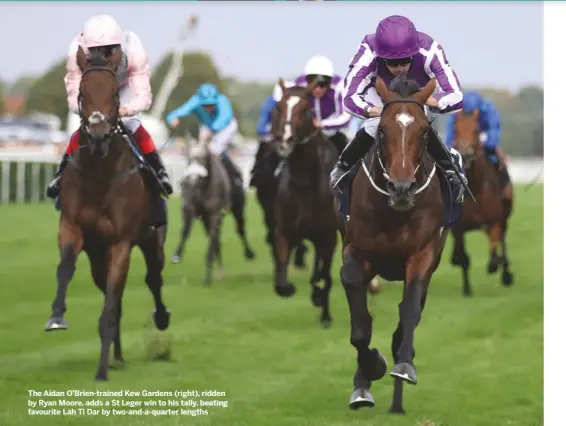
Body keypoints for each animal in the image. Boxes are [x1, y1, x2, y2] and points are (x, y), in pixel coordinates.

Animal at [44, 48, 171, 382]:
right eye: (81, 92)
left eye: (114, 93)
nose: (99, 135)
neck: (99, 173)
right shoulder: (72, 228)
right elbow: (65, 269)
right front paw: (57, 316)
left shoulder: (121, 242)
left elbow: (111, 307)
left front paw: (101, 370)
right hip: (97, 257)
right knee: (115, 295)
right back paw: (118, 356)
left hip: (152, 241)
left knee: (153, 279)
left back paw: (161, 318)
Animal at [272, 79, 340, 326]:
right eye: (278, 107)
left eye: (305, 109)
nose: (285, 141)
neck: (304, 183)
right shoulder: (284, 232)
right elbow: (281, 280)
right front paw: (289, 287)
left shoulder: (329, 236)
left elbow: (327, 277)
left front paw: (326, 314)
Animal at [338, 76, 458, 412]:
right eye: (382, 130)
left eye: (425, 131)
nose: (401, 188)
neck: (394, 211)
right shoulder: (357, 254)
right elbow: (360, 328)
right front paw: (370, 371)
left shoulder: (422, 255)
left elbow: (409, 312)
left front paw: (403, 364)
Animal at [452, 110, 516, 296]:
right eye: (456, 130)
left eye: (476, 130)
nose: (465, 155)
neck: (475, 187)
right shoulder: (458, 228)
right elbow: (464, 258)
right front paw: (467, 289)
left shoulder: (494, 221)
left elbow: (494, 253)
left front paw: (496, 265)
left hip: (505, 215)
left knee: (502, 239)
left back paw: (506, 273)